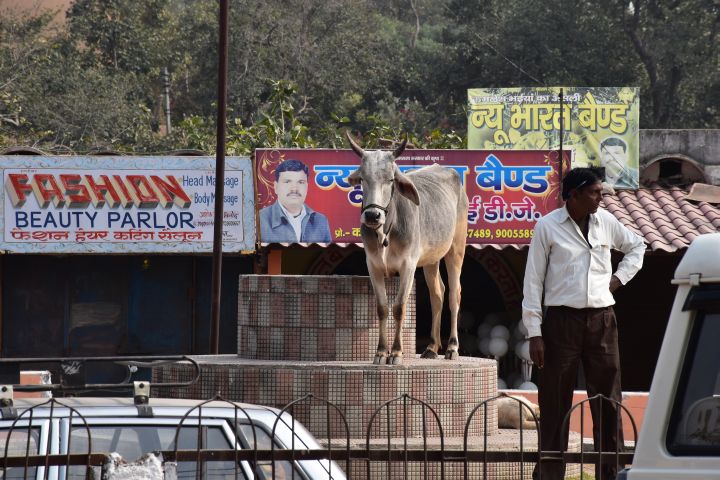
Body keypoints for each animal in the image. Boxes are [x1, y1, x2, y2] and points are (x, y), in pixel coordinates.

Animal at [348, 131, 470, 364]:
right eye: (363, 179)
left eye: (390, 179)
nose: (372, 215)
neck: (385, 230)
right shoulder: (373, 265)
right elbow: (382, 308)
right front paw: (380, 352)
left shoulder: (408, 265)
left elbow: (399, 308)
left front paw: (396, 352)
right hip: (432, 259)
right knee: (437, 294)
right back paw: (432, 347)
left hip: (456, 249)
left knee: (454, 294)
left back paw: (451, 347)